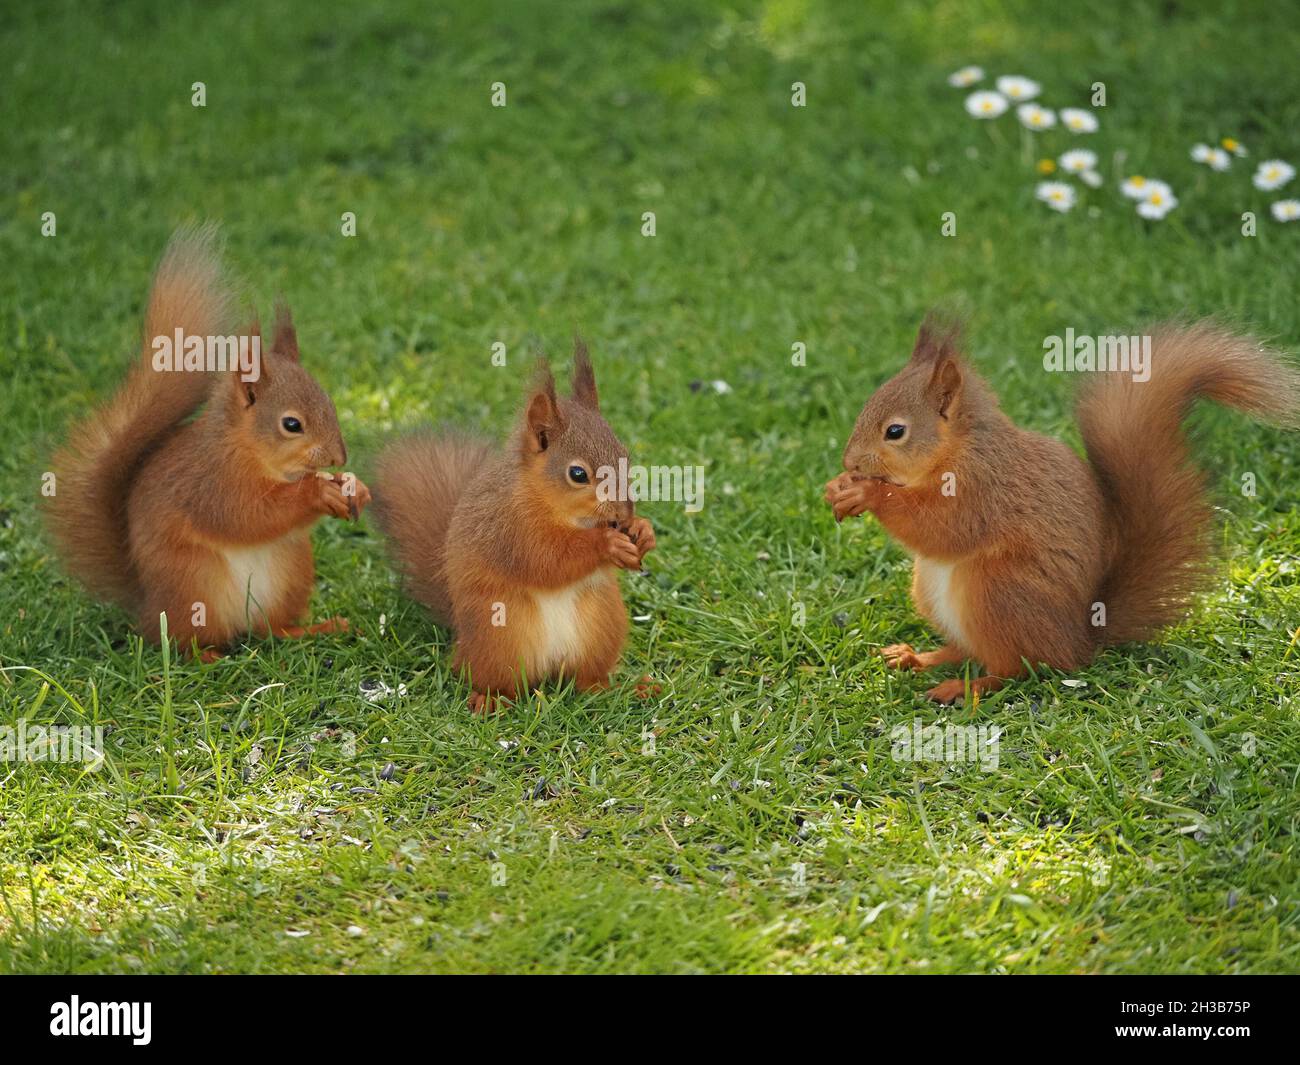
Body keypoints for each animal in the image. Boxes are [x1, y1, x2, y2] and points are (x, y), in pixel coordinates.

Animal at [44, 225, 371, 660]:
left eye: (330, 401)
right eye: (291, 424)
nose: (339, 456)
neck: (248, 451)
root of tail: (146, 603)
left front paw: (354, 487)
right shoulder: (210, 483)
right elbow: (247, 515)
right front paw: (317, 492)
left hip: (293, 567)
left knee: (270, 630)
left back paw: (314, 629)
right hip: (192, 581)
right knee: (180, 639)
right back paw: (206, 656)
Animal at [373, 341, 655, 713]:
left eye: (625, 455)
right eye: (578, 474)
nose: (624, 513)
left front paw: (643, 531)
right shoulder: (509, 529)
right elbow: (546, 559)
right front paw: (606, 543)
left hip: (603, 626)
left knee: (586, 680)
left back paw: (624, 689)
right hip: (500, 634)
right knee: (495, 679)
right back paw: (490, 699)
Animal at [825, 316, 1300, 704]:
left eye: (895, 431)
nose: (850, 461)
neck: (957, 448)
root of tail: (1078, 641)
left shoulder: (980, 489)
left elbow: (942, 528)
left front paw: (866, 493)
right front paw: (839, 487)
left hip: (995, 592)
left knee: (1014, 668)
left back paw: (964, 687)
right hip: (932, 592)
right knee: (965, 650)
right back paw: (917, 658)